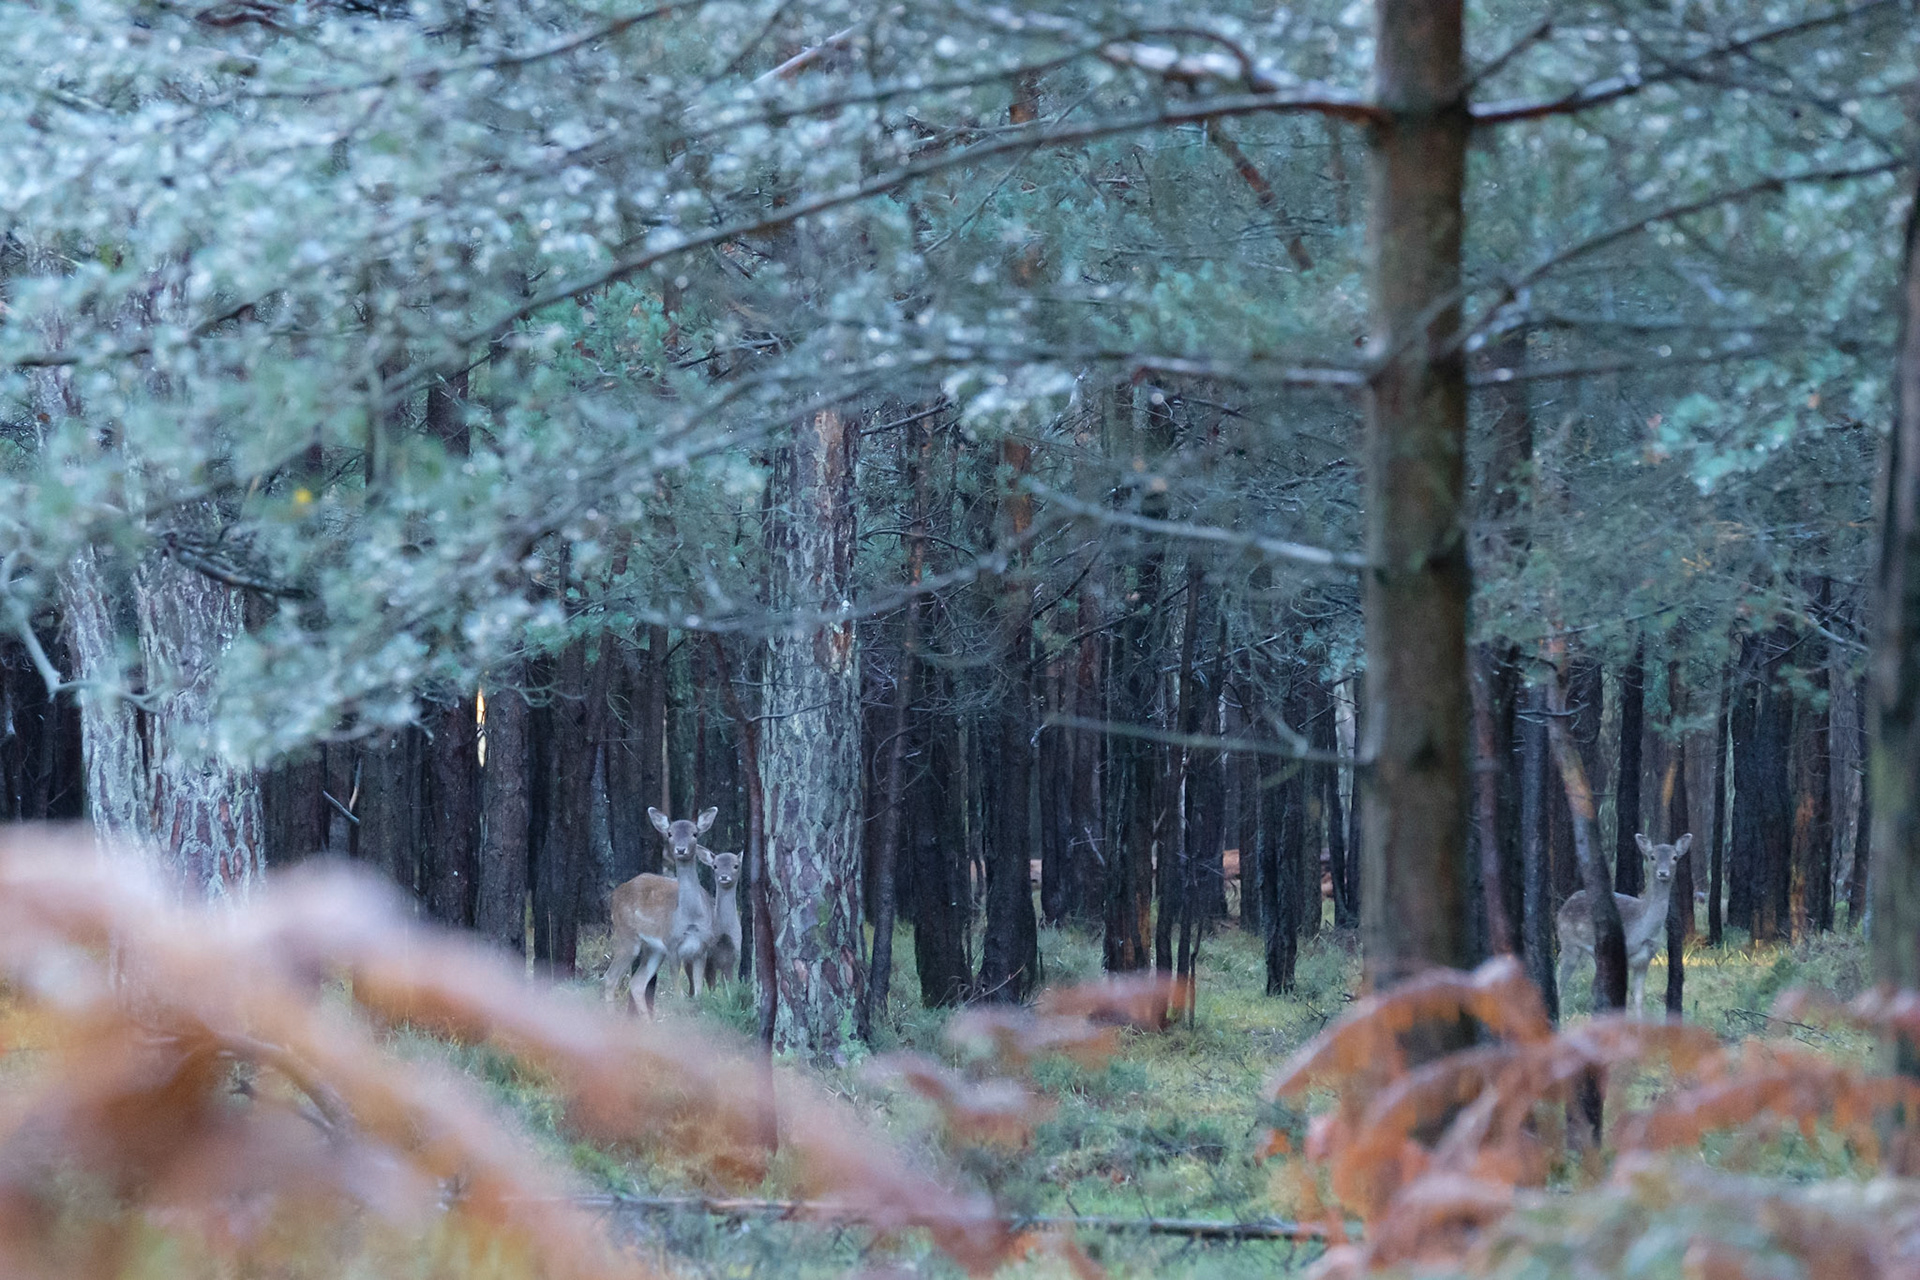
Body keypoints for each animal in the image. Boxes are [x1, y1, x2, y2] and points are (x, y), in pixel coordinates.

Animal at [602, 806, 717, 1018]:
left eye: (694, 833)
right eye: (670, 833)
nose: (681, 850)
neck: (692, 919)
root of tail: (615, 893)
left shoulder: (703, 948)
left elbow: (698, 994)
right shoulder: (672, 944)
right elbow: (679, 996)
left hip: (654, 949)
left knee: (636, 983)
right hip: (627, 935)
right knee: (610, 978)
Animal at [1556, 832, 1691, 1019]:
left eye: (1675, 857)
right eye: (1652, 857)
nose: (1663, 873)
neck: (1642, 928)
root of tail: (1566, 904)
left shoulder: (1645, 959)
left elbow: (1639, 997)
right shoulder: (1623, 953)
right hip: (1569, 942)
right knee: (1561, 974)